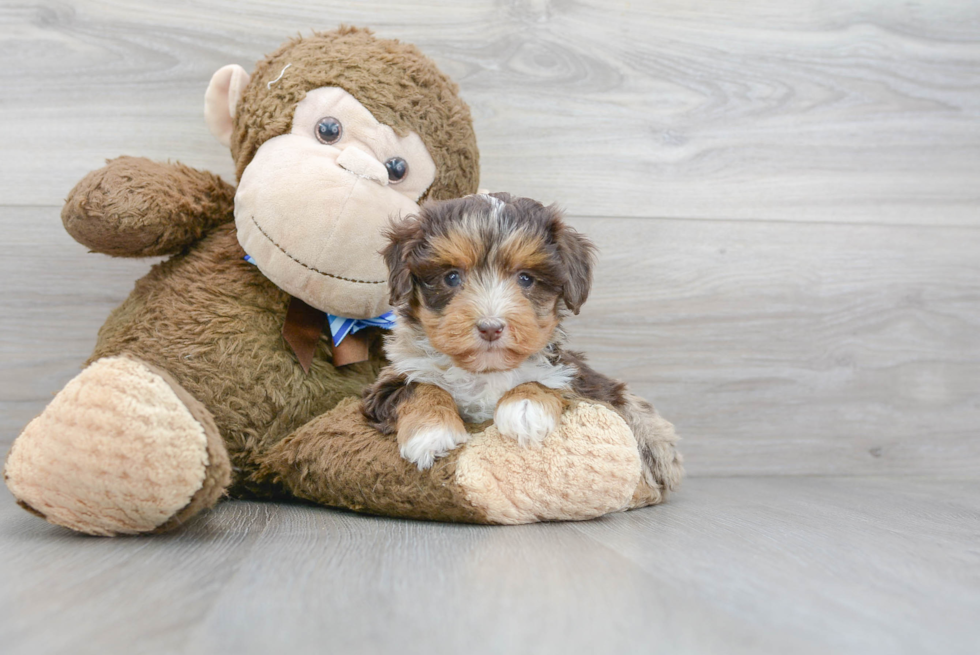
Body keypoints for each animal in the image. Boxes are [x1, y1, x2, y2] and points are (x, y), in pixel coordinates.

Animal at [362, 193, 680, 498]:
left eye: (526, 279)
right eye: (451, 277)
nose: (491, 327)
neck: (486, 371)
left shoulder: (575, 378)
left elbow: (547, 383)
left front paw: (525, 407)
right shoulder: (389, 381)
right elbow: (421, 387)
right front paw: (433, 432)